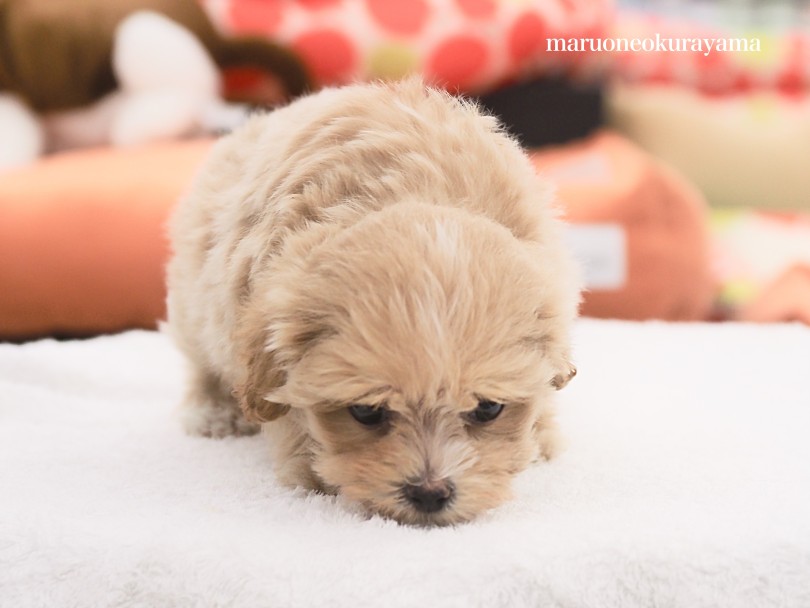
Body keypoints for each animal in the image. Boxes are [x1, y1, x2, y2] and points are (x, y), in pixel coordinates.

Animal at [167, 79, 576, 528]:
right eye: (365, 413)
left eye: (488, 409)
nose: (430, 494)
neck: (415, 194)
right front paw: (312, 471)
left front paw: (541, 438)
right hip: (192, 303)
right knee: (202, 363)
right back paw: (213, 414)